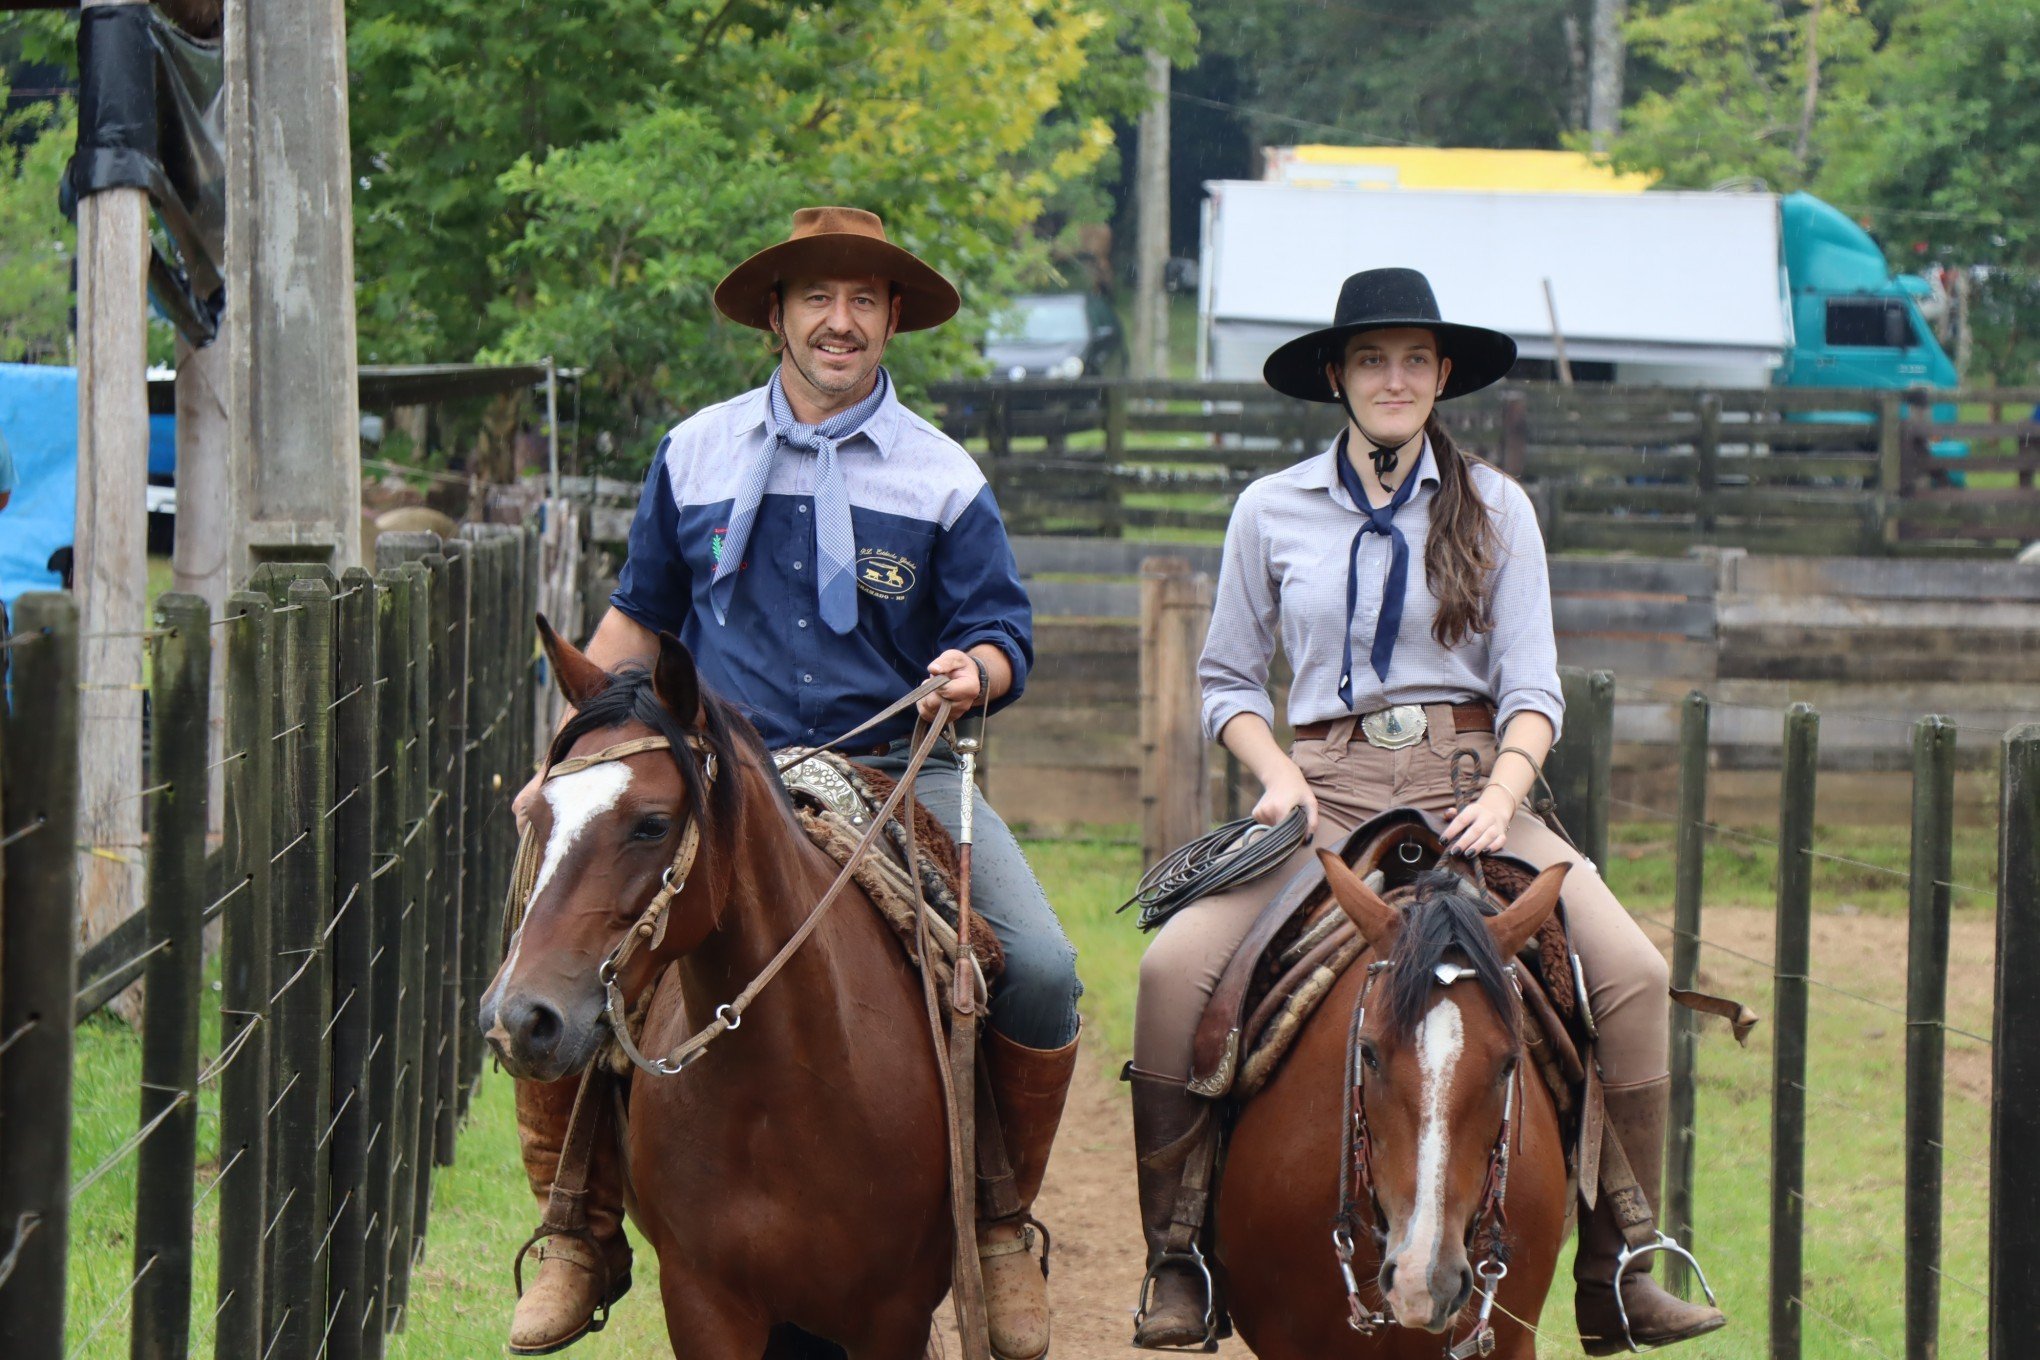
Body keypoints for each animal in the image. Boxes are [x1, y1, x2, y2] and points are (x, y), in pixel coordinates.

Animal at [479, 623, 954, 1360]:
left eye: (651, 823)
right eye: (538, 813)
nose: (518, 1019)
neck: (796, 1085)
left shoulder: (895, 1315)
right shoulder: (704, 1304)